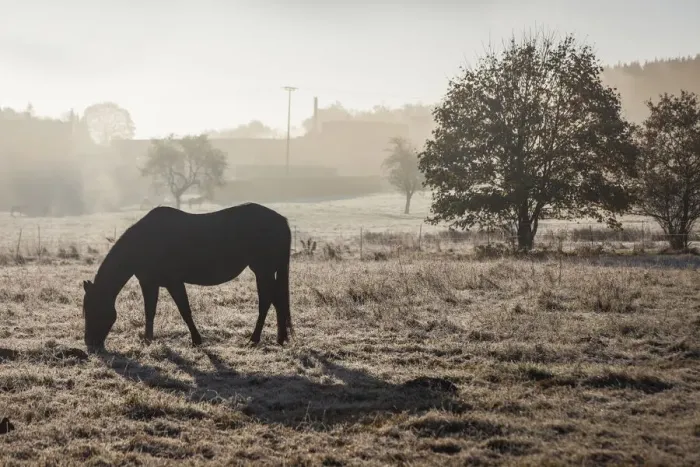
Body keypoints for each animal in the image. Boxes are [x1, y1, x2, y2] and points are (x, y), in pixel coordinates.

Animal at [81, 202, 293, 353]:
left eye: (93, 309)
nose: (90, 344)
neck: (145, 242)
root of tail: (281, 220)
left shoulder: (174, 282)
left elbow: (185, 311)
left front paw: (197, 341)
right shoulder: (149, 283)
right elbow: (150, 311)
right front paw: (148, 340)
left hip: (263, 270)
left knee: (267, 301)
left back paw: (255, 339)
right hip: (266, 271)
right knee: (276, 301)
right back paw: (280, 338)